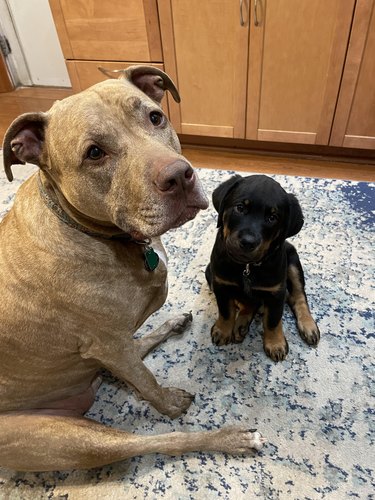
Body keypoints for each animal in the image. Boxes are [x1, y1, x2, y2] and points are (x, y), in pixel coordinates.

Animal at [0, 65, 266, 468]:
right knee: (159, 437)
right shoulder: (108, 344)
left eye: (155, 117)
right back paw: (231, 437)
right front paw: (168, 401)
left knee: (136, 353)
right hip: (70, 439)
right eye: (94, 153)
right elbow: (148, 384)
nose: (180, 176)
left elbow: (137, 367)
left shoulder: (114, 348)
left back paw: (170, 325)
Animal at [206, 174, 320, 362]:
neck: (247, 267)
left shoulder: (275, 291)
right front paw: (223, 330)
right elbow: (226, 310)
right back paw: (241, 324)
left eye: (272, 218)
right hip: (209, 272)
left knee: (297, 297)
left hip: (292, 262)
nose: (248, 242)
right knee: (248, 303)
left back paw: (308, 325)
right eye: (240, 208)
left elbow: (273, 320)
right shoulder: (221, 283)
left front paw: (275, 343)